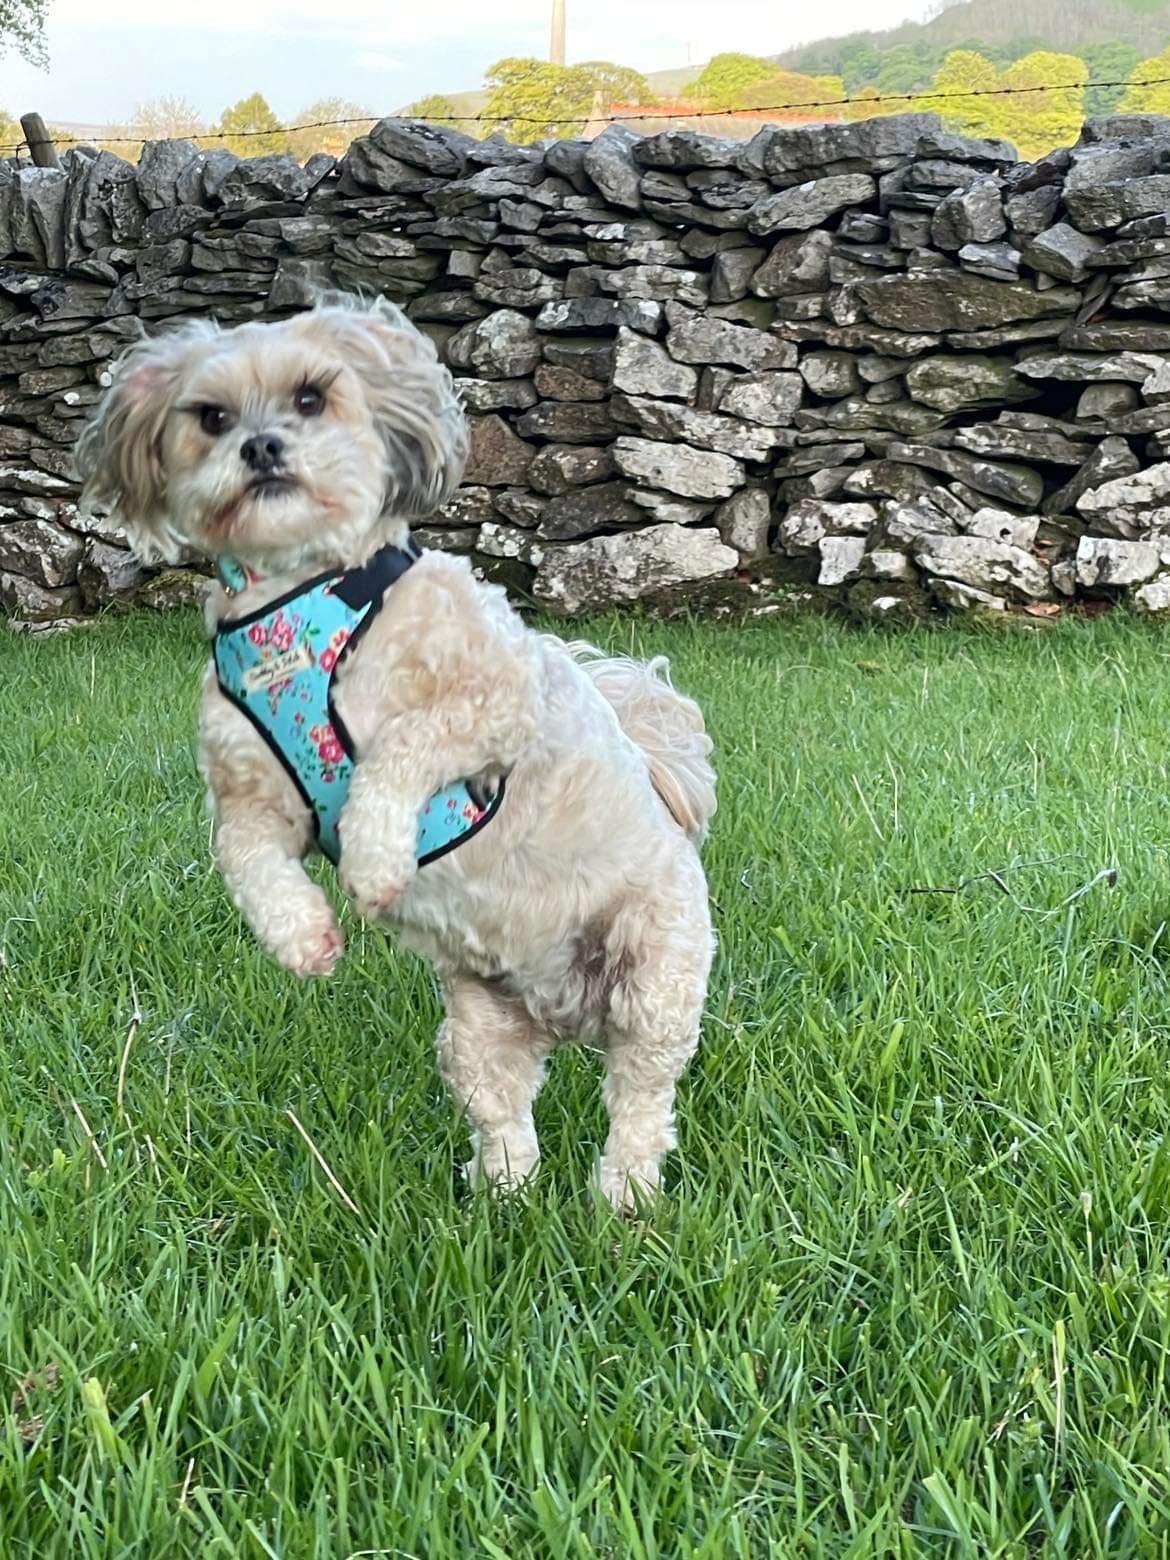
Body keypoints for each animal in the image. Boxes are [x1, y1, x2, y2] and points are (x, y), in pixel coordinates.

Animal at [75, 293, 714, 1204]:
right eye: (212, 417)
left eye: (311, 398)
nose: (262, 445)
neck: (297, 606)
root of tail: (563, 1008)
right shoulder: (251, 796)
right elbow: (247, 861)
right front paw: (304, 939)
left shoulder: (497, 695)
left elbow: (403, 746)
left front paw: (376, 860)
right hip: (477, 1025)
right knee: (506, 1118)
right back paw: (498, 1198)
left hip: (652, 977)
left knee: (641, 1100)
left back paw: (624, 1197)